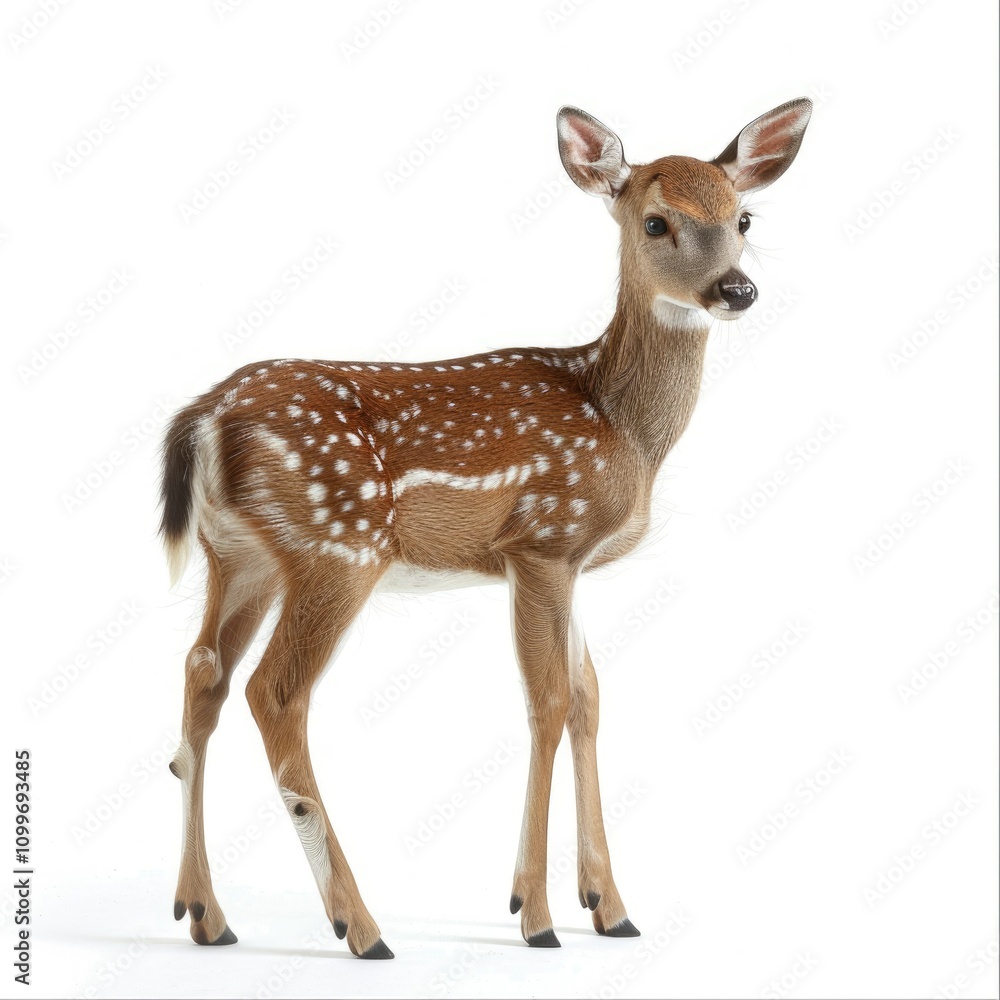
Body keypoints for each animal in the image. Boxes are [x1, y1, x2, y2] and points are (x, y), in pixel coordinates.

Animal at [160, 98, 812, 958]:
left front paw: (610, 907)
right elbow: (548, 702)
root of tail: (203, 420)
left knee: (202, 674)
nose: (736, 289)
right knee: (275, 692)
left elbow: (590, 696)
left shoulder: (569, 561)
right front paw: (536, 916)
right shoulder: (542, 539)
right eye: (657, 222)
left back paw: (206, 915)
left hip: (240, 555)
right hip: (338, 544)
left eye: (743, 216)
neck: (622, 425)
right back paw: (361, 928)